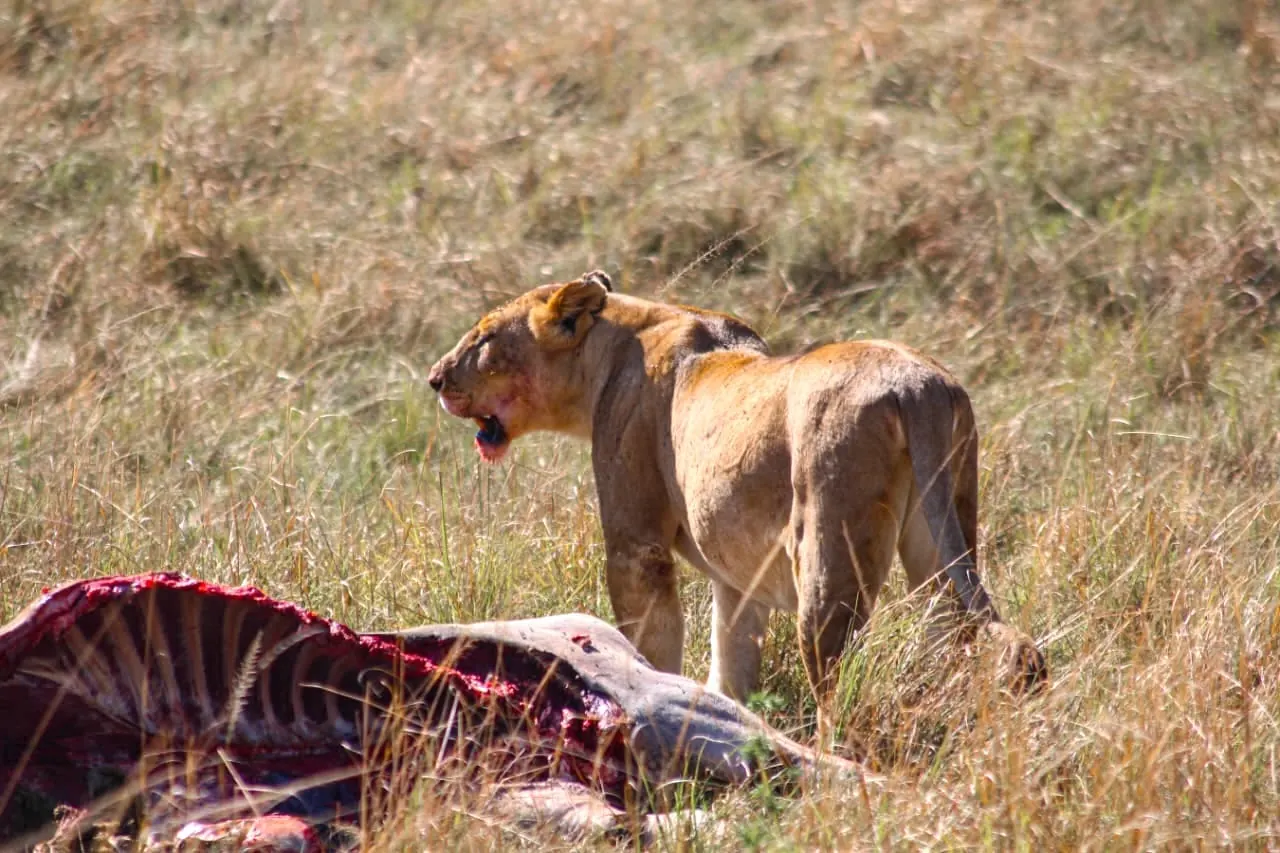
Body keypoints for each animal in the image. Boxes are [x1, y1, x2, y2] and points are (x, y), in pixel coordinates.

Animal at [427, 271, 1045, 705]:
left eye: (483, 338)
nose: (434, 378)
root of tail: (914, 386)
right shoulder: (736, 573)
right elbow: (731, 652)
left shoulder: (636, 541)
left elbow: (650, 641)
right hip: (941, 533)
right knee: (957, 629)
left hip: (826, 545)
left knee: (838, 671)